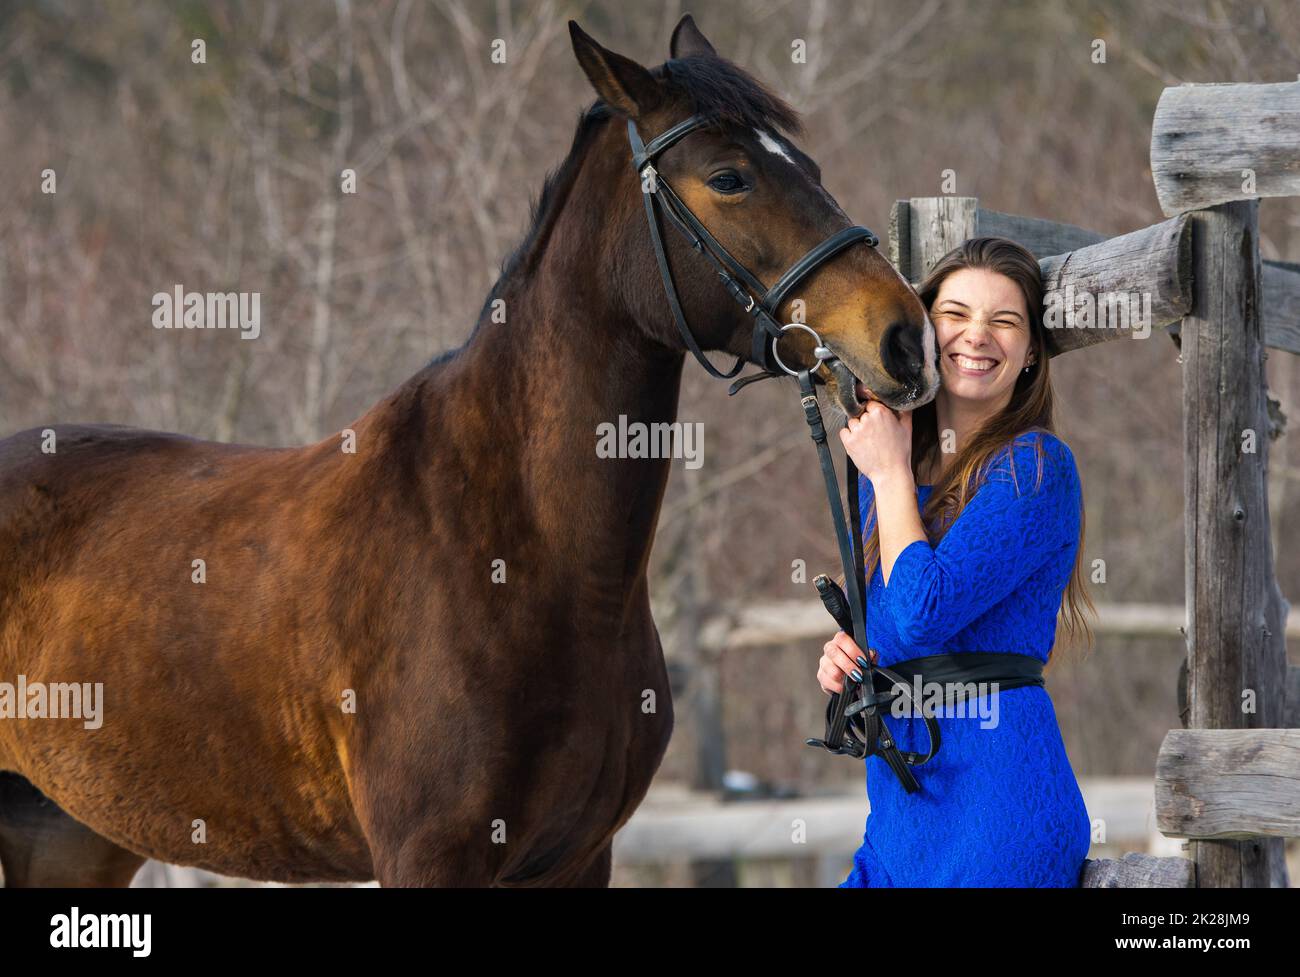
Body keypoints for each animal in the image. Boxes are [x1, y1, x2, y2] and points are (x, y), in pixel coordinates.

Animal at [0, 13, 935, 883]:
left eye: (809, 168)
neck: (522, 550)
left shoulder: (577, 857)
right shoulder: (431, 856)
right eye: (729, 177)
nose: (904, 335)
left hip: (67, 834)